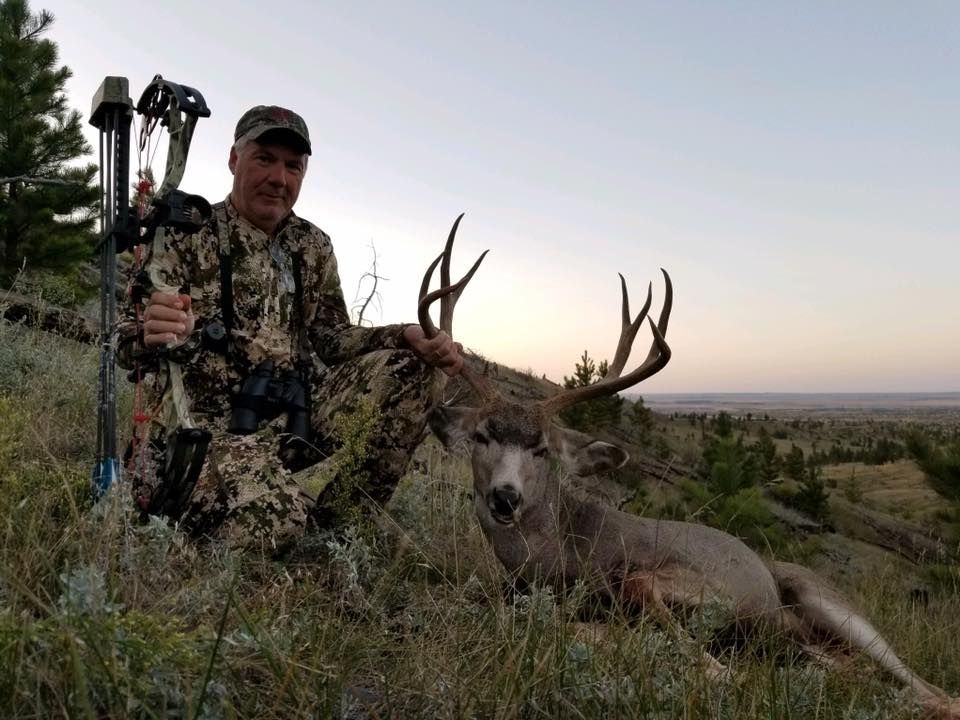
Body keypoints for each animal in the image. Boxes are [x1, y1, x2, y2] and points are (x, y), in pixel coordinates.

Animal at [416, 215, 960, 719]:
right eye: (482, 436)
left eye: (542, 449)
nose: (505, 497)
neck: (564, 556)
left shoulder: (706, 585)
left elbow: (642, 591)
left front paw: (712, 667)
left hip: (827, 600)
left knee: (926, 685)